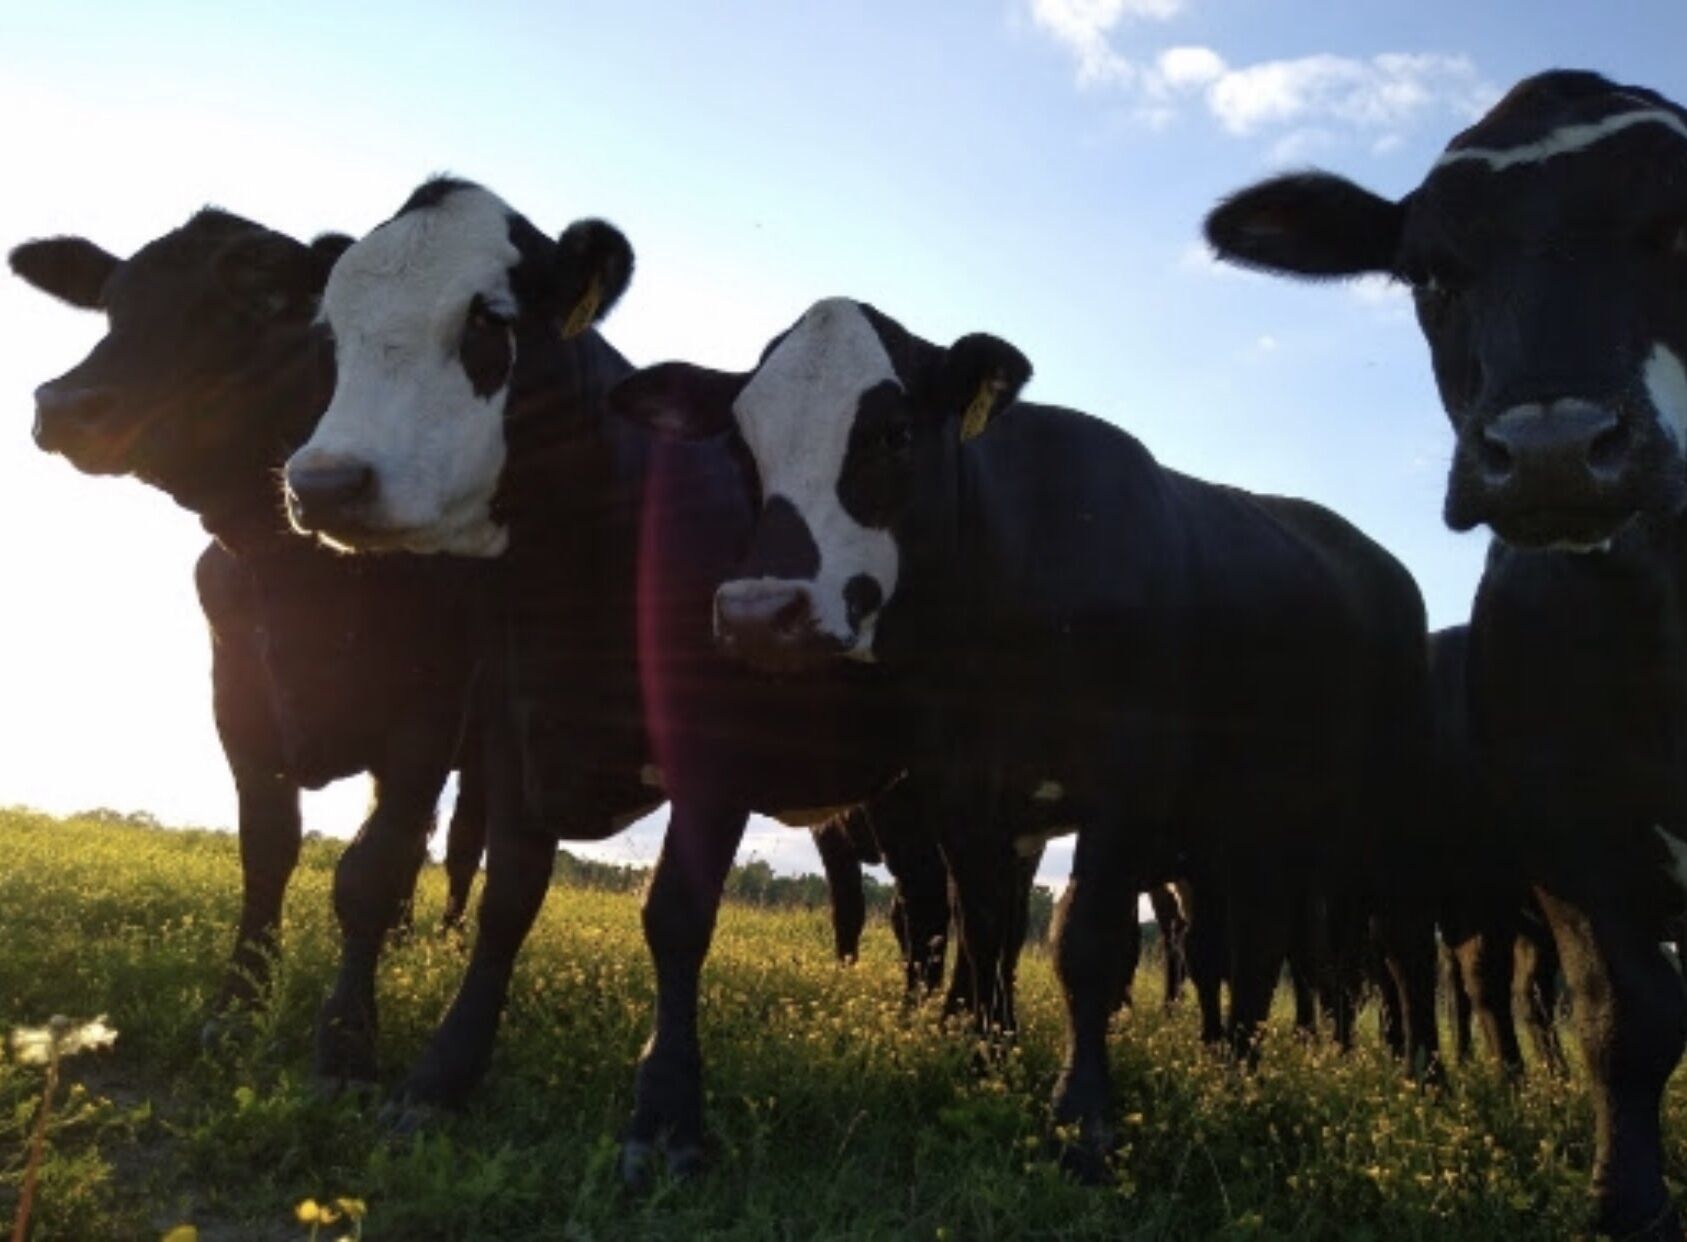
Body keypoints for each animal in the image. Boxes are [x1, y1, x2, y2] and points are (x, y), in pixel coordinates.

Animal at [10, 213, 488, 1070]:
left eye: (265, 298)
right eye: (112, 302)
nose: (65, 404)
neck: (301, 570)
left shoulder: (432, 708)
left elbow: (369, 870)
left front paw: (346, 1041)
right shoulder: (237, 699)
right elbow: (268, 851)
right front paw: (236, 1009)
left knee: (459, 847)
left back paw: (445, 943)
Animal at [606, 295, 1435, 1181]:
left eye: (894, 432)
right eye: (740, 442)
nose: (760, 614)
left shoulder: (1127, 783)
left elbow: (1088, 948)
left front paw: (1083, 1123)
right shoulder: (962, 790)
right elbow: (986, 931)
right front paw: (985, 1061)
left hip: (1391, 823)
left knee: (1398, 954)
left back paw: (1420, 1084)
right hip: (1253, 828)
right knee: (1252, 947)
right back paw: (1235, 1073)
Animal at [1203, 69, 1687, 1239]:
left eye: (1680, 219)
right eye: (1430, 270)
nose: (1552, 450)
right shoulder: (1569, 833)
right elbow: (1627, 1022)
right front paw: (1626, 1203)